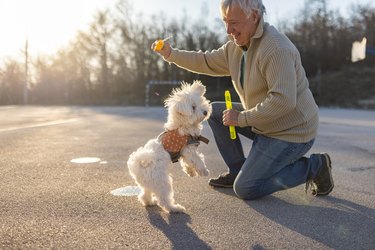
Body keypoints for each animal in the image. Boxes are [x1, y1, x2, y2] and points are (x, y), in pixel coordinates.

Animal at [128, 81, 212, 214]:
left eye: (201, 101)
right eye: (193, 107)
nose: (205, 112)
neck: (181, 125)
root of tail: (140, 164)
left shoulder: (184, 152)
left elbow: (187, 163)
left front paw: (190, 172)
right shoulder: (188, 150)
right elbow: (197, 160)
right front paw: (203, 171)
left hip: (148, 182)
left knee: (144, 193)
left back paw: (149, 202)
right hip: (162, 182)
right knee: (164, 199)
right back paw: (174, 208)